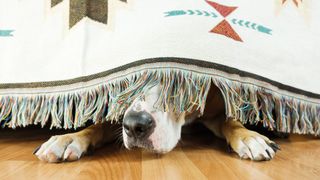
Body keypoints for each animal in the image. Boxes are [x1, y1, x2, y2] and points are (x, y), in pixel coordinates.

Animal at [35, 84, 278, 163]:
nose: (135, 126)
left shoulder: (216, 112)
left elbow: (232, 122)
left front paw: (250, 138)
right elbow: (98, 126)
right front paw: (69, 139)